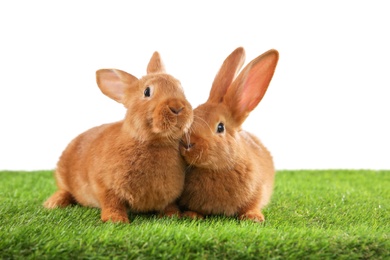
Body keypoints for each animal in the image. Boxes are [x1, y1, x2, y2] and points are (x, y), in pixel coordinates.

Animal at [43, 51, 193, 223]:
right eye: (147, 92)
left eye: (180, 88)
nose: (177, 107)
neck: (153, 142)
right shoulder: (105, 185)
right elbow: (111, 202)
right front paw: (115, 220)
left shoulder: (169, 196)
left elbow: (169, 205)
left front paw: (172, 216)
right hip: (63, 175)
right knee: (65, 190)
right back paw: (52, 203)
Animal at [178, 46, 278, 221]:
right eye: (193, 114)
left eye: (220, 127)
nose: (187, 143)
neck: (215, 168)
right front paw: (191, 215)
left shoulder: (258, 189)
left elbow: (253, 204)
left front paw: (254, 218)